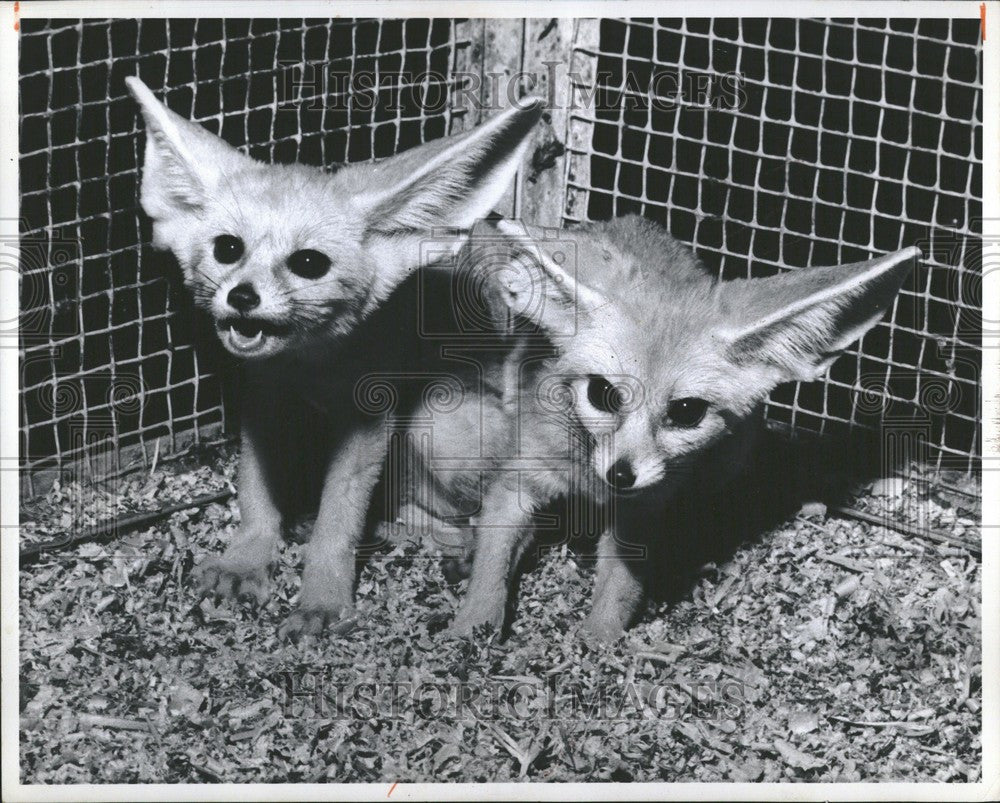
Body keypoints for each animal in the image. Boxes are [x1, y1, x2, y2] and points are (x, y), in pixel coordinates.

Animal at [130, 77, 548, 640]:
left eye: (309, 263)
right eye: (228, 249)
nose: (242, 297)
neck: (310, 367)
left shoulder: (369, 420)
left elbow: (339, 519)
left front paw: (322, 599)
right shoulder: (266, 401)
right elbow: (256, 491)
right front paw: (248, 559)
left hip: (441, 422)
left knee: (495, 523)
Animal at [396, 215, 916, 640]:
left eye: (686, 412)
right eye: (602, 394)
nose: (621, 475)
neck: (592, 486)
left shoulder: (641, 511)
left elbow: (619, 589)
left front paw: (597, 647)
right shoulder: (517, 482)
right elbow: (492, 566)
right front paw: (470, 632)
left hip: (729, 461)